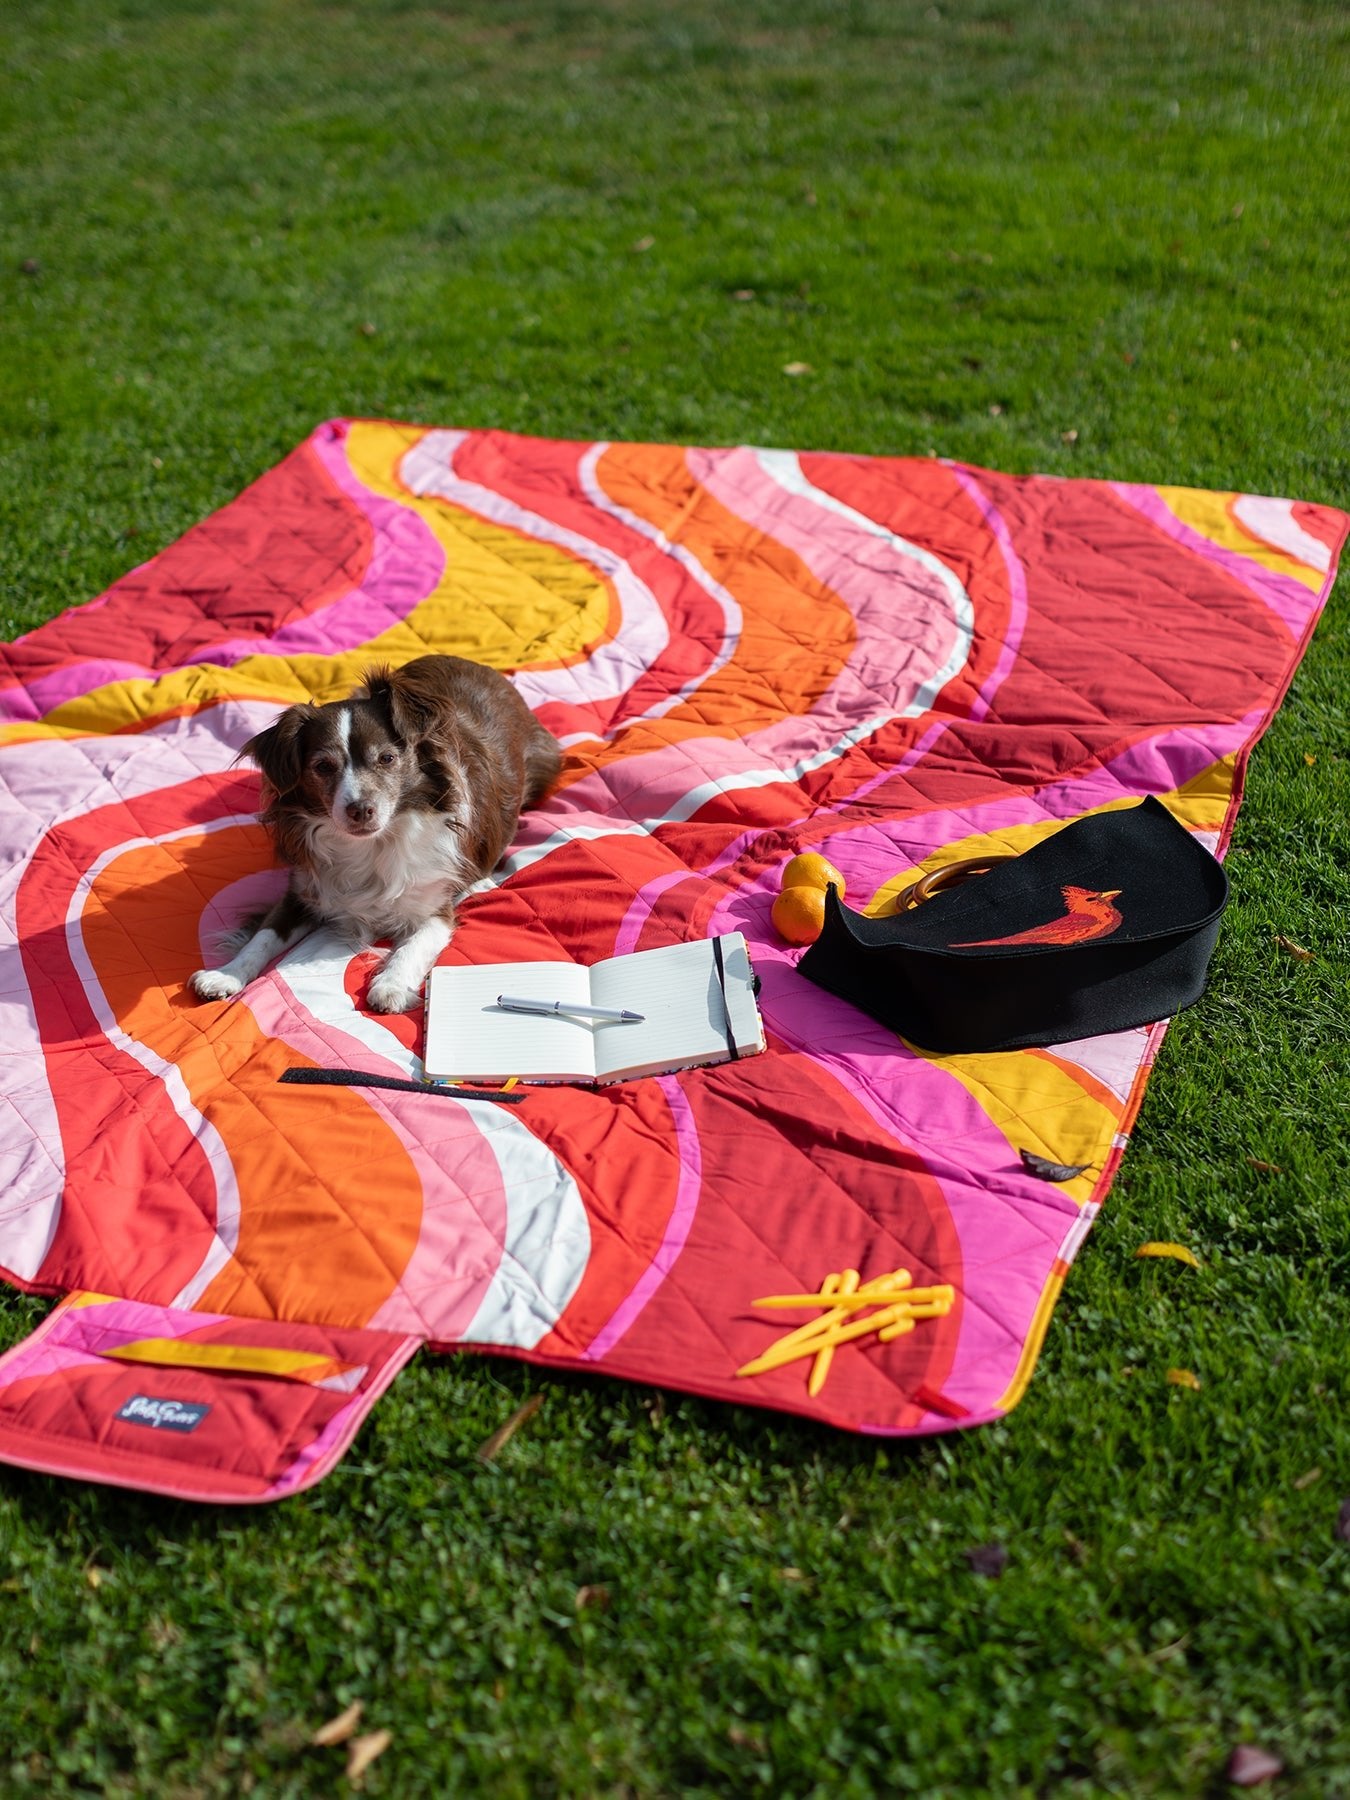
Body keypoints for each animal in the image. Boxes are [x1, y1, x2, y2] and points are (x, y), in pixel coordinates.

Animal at [189, 655, 561, 1015]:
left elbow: (414, 945)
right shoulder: (304, 891)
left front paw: (392, 985)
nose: (361, 809)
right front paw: (225, 974)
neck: (370, 845)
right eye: (323, 766)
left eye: (387, 758)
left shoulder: (435, 907)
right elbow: (264, 935)